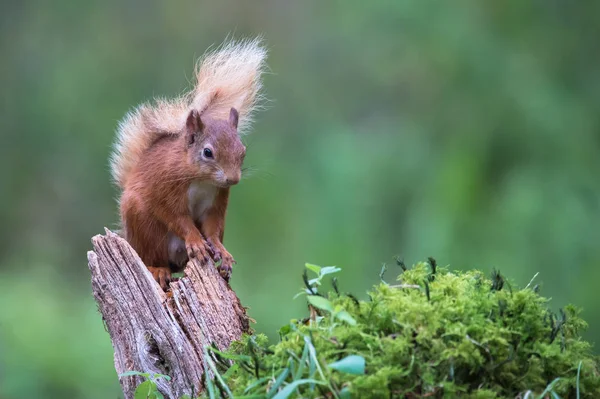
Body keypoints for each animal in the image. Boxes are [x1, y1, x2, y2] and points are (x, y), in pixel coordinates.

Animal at [108, 38, 268, 290]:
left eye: (243, 151)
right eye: (207, 152)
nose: (232, 179)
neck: (202, 180)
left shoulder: (216, 201)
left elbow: (211, 227)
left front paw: (221, 251)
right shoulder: (165, 188)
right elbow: (178, 219)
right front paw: (195, 240)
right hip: (143, 225)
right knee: (154, 258)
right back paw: (159, 269)